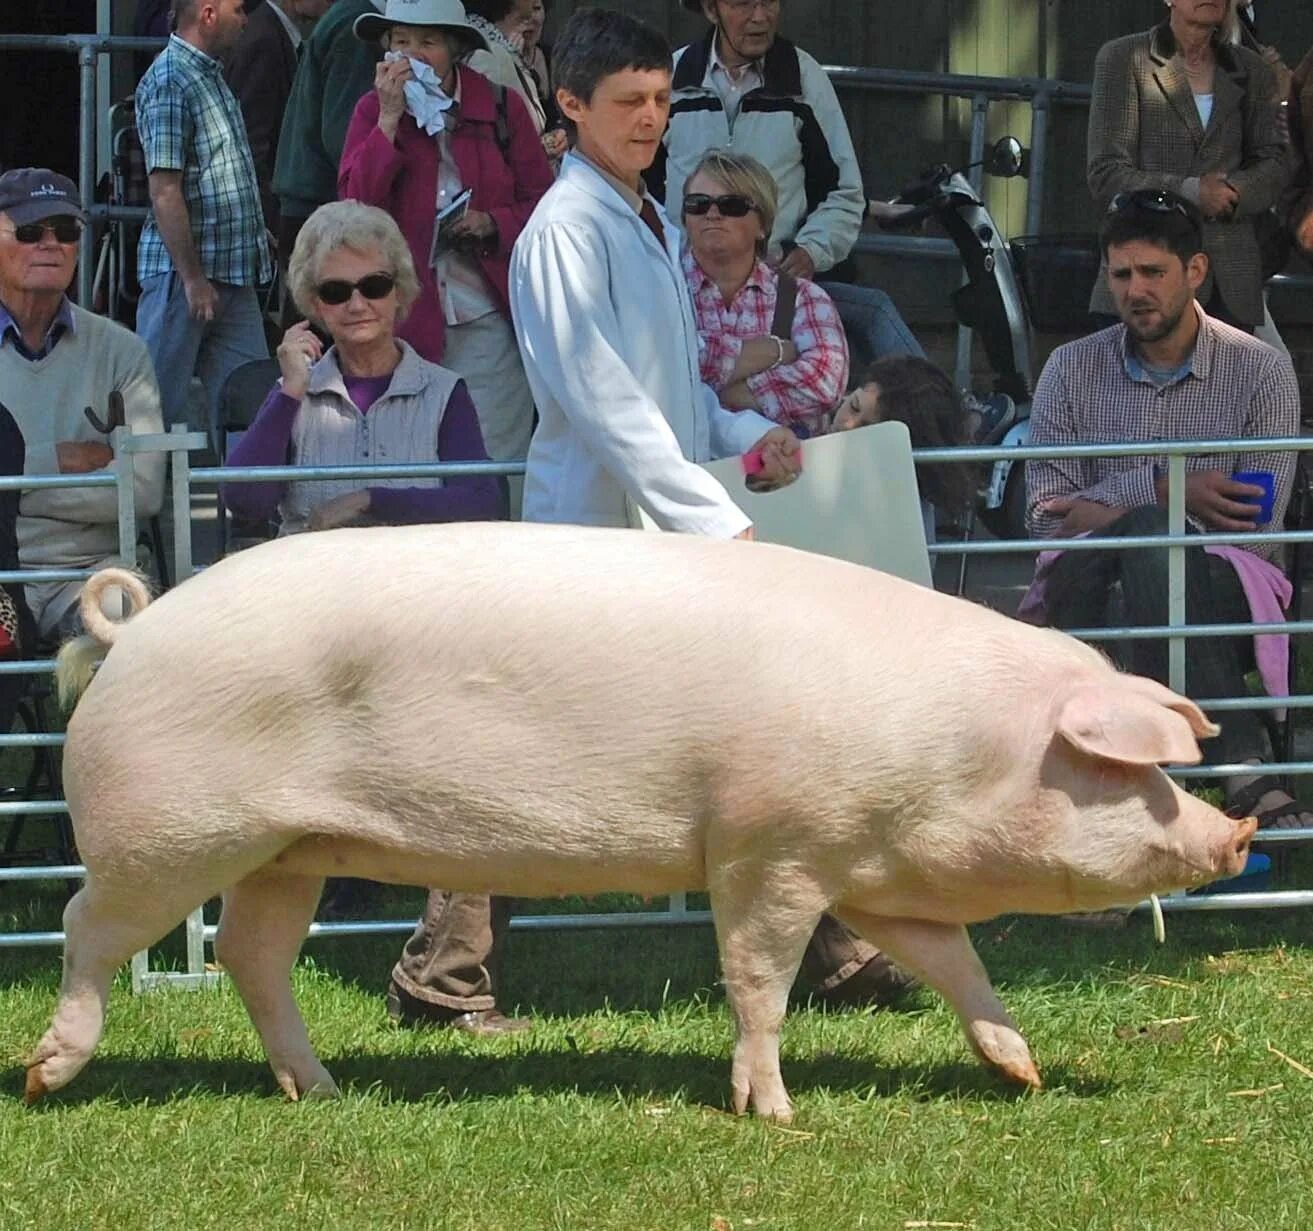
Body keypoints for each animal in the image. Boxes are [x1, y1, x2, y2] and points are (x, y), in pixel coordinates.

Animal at [28, 522, 1249, 1118]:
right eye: (1125, 772)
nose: (1231, 835)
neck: (947, 748)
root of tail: (134, 630)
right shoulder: (769, 848)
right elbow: (757, 979)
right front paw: (775, 1115)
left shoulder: (868, 872)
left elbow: (959, 966)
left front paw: (1021, 1074)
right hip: (166, 833)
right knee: (87, 929)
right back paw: (47, 1079)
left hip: (283, 849)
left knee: (252, 950)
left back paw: (323, 1093)